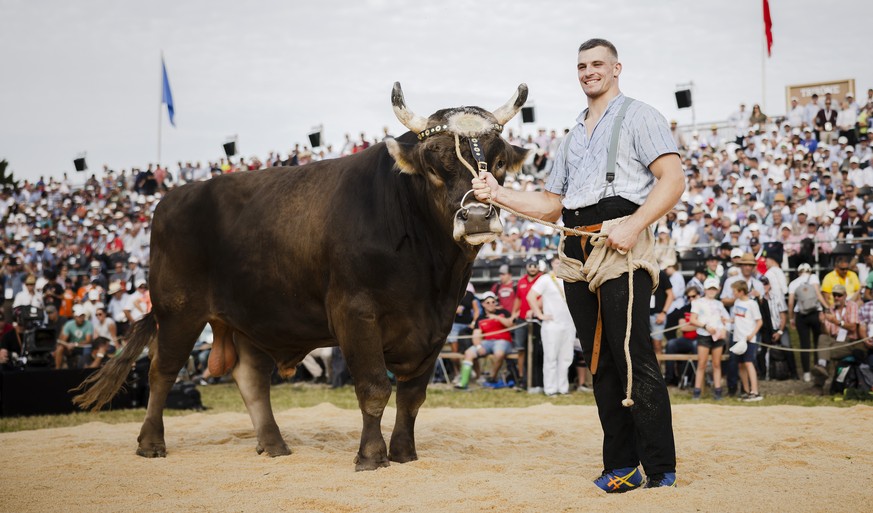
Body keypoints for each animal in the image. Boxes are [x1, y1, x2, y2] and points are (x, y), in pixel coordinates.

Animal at [73, 82, 524, 470]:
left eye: (499, 162)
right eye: (433, 165)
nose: (478, 215)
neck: (429, 274)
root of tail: (173, 196)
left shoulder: (437, 325)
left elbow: (411, 397)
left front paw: (404, 455)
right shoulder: (354, 314)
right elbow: (375, 388)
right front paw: (371, 456)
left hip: (250, 315)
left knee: (251, 378)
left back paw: (274, 445)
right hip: (178, 310)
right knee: (161, 371)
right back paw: (151, 443)